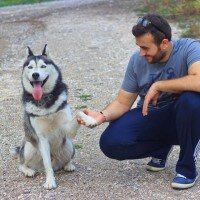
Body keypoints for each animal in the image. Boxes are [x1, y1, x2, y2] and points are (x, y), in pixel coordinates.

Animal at [10, 45, 97, 189]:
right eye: (30, 67)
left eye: (43, 66)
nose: (35, 75)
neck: (45, 100)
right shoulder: (42, 138)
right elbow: (47, 164)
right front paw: (50, 181)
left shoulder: (67, 128)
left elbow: (79, 112)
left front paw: (90, 120)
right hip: (28, 146)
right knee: (21, 163)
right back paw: (28, 170)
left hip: (69, 144)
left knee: (66, 159)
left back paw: (68, 165)